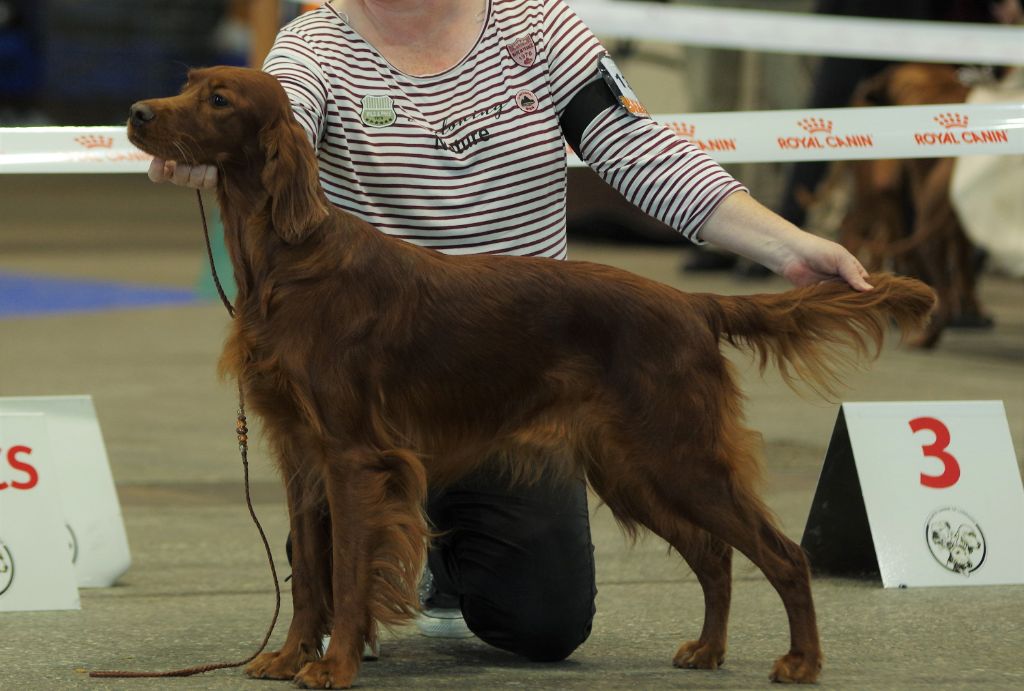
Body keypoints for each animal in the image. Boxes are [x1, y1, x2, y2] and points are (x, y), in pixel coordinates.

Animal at [128, 67, 937, 687]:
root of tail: (690, 304)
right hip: (631, 465)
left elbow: (350, 571)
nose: (137, 113)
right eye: (188, 84)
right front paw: (290, 655)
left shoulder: (355, 457)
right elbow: (309, 574)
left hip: (678, 454)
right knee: (713, 554)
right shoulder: (301, 455)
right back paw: (708, 649)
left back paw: (800, 661)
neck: (289, 261)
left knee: (784, 554)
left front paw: (333, 665)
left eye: (219, 99)